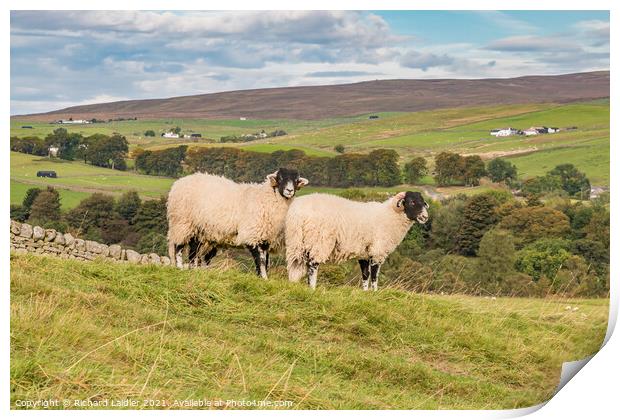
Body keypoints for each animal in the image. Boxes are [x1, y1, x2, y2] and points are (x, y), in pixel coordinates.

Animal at [167, 169, 308, 278]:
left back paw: (194, 270)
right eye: (280, 178)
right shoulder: (253, 234)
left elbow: (266, 260)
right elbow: (260, 260)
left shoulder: (265, 237)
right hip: (182, 222)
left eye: (296, 180)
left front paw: (261, 277)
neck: (267, 198)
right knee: (179, 246)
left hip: (199, 230)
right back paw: (179, 267)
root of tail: (179, 182)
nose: (289, 191)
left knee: (193, 251)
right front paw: (263, 278)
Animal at [284, 192, 426, 290]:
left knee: (296, 264)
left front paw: (366, 293)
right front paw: (375, 293)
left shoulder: (364, 254)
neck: (390, 216)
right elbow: (374, 276)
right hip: (319, 240)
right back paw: (312, 288)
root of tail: (297, 214)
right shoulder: (377, 251)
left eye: (423, 202)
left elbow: (365, 275)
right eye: (412, 202)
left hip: (295, 242)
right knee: (312, 265)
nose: (425, 217)